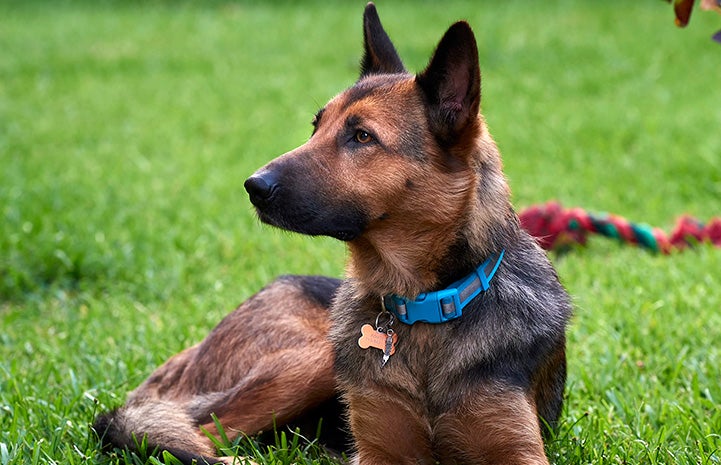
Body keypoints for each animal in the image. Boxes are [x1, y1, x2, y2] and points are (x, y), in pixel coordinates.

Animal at [95, 4, 572, 464]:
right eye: (315, 126)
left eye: (361, 136)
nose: (253, 186)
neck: (423, 307)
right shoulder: (379, 450)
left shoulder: (518, 448)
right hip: (312, 359)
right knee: (196, 435)